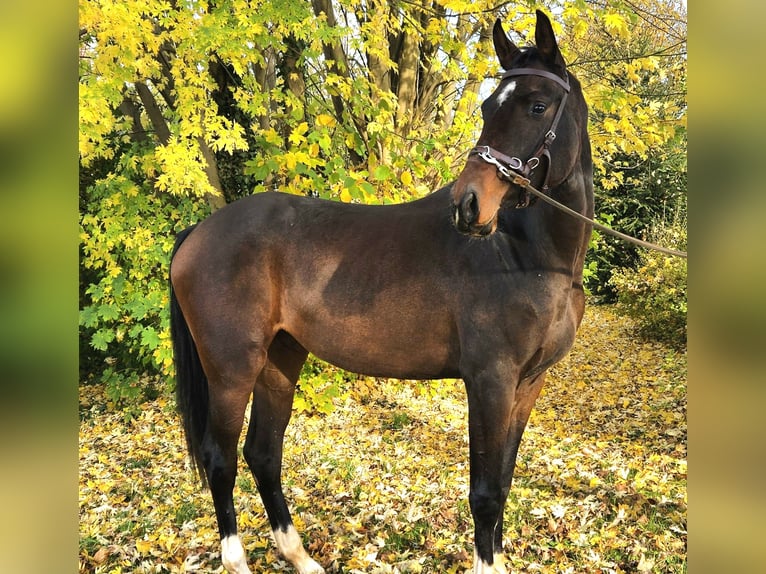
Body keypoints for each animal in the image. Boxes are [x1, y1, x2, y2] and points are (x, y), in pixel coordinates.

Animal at [169, 10, 592, 574]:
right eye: (487, 107)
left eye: (538, 106)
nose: (468, 205)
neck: (527, 256)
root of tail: (199, 231)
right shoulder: (490, 382)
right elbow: (484, 494)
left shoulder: (528, 385)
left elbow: (502, 484)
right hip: (232, 370)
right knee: (221, 459)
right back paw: (238, 560)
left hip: (281, 358)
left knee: (263, 452)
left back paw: (300, 556)